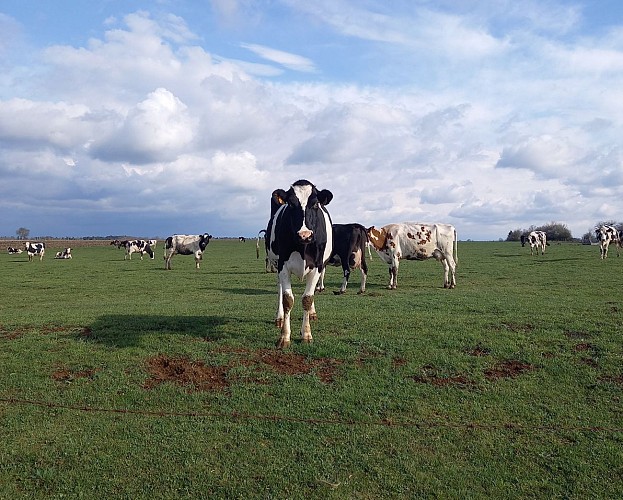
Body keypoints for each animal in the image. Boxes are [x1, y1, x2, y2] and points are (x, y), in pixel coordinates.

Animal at [266, 179, 334, 348]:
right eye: (290, 204)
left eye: (315, 204)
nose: (305, 235)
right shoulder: (283, 266)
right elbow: (287, 299)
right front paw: (284, 336)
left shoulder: (317, 266)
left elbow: (307, 298)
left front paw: (306, 334)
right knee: (279, 289)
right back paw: (279, 318)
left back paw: (312, 314)